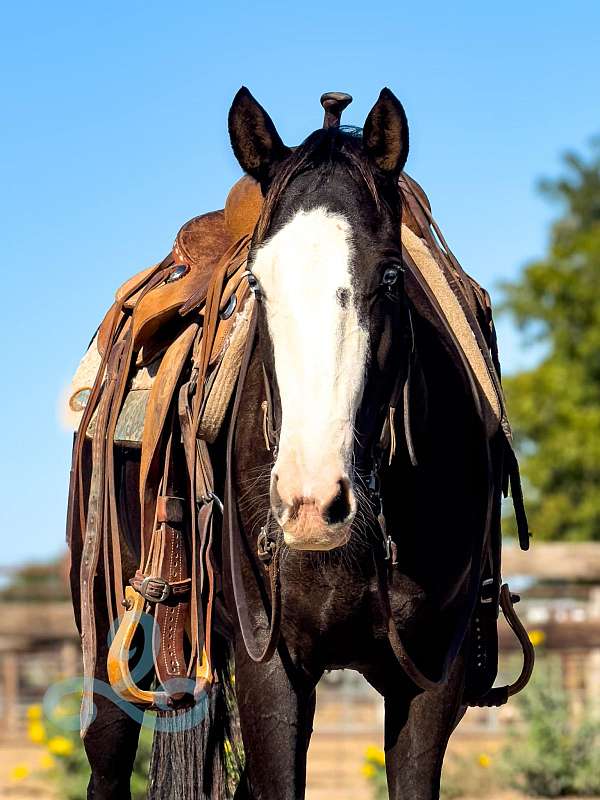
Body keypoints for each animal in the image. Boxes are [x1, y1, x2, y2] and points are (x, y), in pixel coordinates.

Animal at [69, 87, 528, 800]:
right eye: (257, 284)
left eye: (390, 276)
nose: (312, 502)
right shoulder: (272, 669)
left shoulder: (433, 678)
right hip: (114, 641)